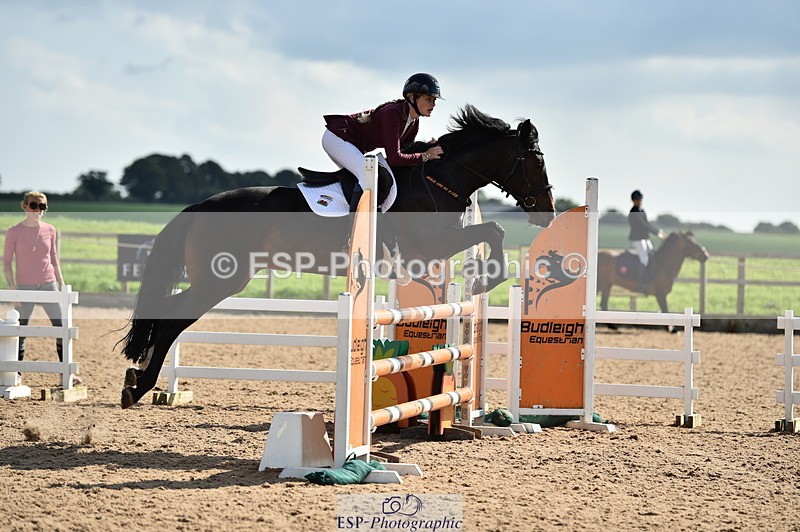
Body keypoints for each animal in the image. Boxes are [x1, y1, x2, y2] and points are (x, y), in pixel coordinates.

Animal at [118, 104, 557, 408]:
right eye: (536, 160)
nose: (548, 213)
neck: (438, 178)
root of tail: (199, 206)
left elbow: (491, 232)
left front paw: (482, 278)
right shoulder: (433, 245)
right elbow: (494, 230)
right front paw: (486, 279)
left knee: (168, 312)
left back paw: (138, 379)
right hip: (220, 279)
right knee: (173, 318)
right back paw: (138, 386)